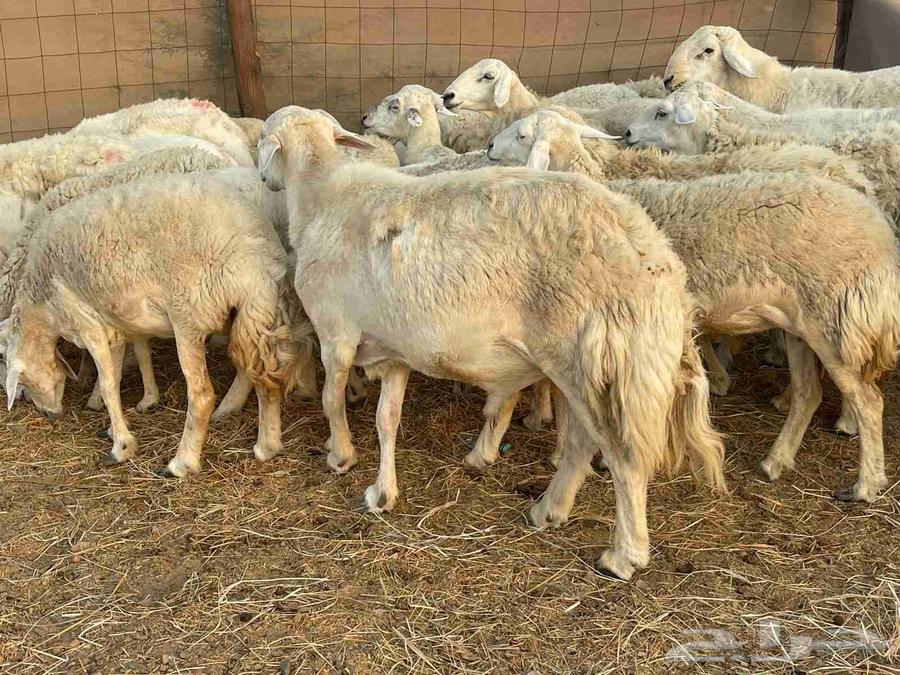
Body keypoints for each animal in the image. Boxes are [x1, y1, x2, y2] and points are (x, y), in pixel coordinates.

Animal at [4, 171, 311, 477]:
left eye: (22, 380)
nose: (47, 414)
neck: (41, 308)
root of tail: (255, 251)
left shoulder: (86, 323)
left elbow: (107, 385)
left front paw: (121, 447)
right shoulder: (112, 325)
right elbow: (116, 376)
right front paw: (115, 428)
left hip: (188, 313)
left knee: (202, 394)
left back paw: (182, 462)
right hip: (256, 309)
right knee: (264, 377)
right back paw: (267, 445)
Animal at [256, 106, 725, 580]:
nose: (263, 180)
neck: (321, 194)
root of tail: (659, 262)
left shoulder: (335, 335)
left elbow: (332, 402)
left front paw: (340, 455)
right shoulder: (394, 352)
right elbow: (387, 420)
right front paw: (381, 493)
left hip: (592, 356)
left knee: (621, 455)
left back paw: (623, 554)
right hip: (591, 363)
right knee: (581, 442)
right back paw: (548, 510)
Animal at [489, 112, 900, 502]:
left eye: (522, 135)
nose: (490, 145)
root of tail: (878, 226)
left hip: (836, 319)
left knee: (868, 400)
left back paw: (866, 483)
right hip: (799, 324)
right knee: (808, 393)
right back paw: (775, 461)